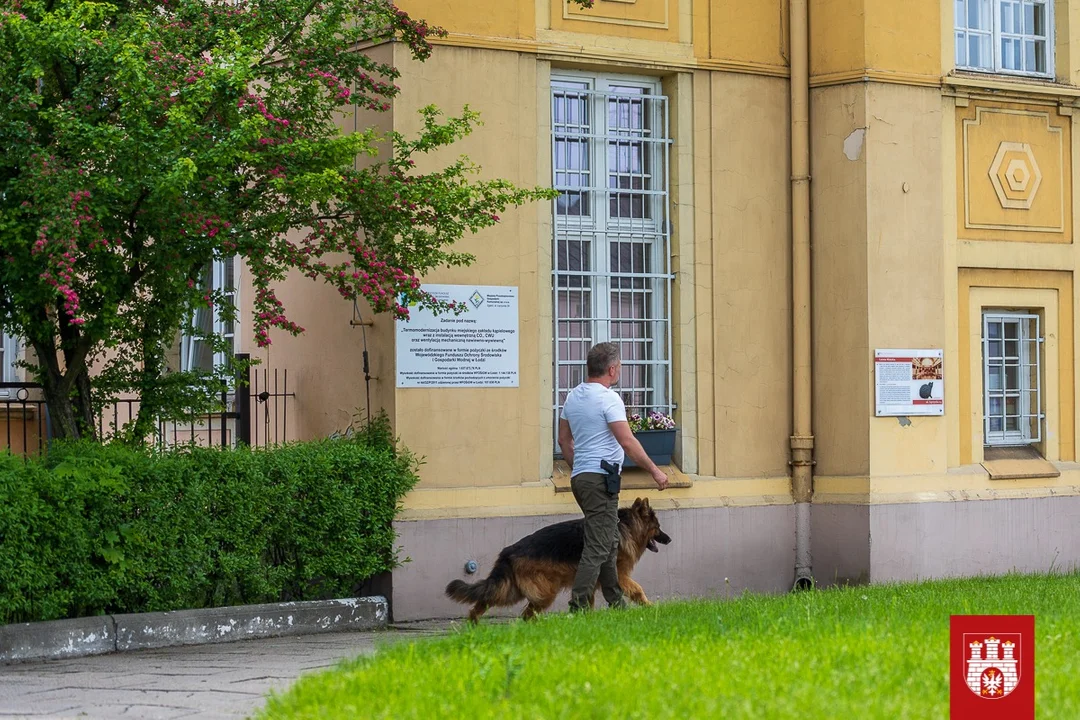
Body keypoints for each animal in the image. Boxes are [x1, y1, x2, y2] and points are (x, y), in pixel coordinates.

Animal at [444, 498, 665, 621]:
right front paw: (650, 607)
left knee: (488, 600)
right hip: (544, 592)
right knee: (526, 614)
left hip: (512, 590)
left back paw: (473, 623)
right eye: (658, 527)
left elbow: (589, 600)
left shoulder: (592, 581)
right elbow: (637, 590)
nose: (669, 539)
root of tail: (509, 551)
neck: (626, 527)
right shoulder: (619, 576)